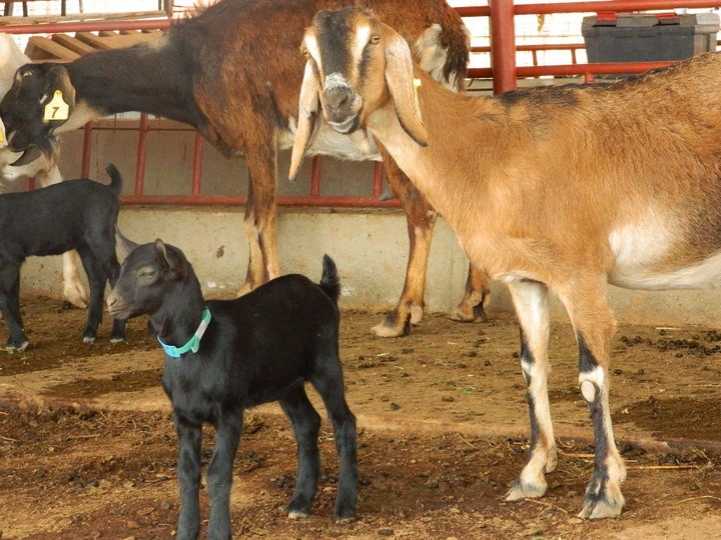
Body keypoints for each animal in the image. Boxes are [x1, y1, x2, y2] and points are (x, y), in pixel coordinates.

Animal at [0, 163, 125, 350]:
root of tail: (108, 189)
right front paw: (13, 341)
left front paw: (20, 341)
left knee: (114, 271)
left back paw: (117, 334)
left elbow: (5, 297)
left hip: (101, 234)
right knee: (96, 277)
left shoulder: (10, 259)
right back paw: (90, 332)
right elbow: (12, 295)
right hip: (84, 244)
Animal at [106, 242, 358, 540]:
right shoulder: (183, 415)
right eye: (122, 268)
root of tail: (321, 289)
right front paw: (186, 532)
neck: (196, 344)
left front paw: (218, 532)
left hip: (325, 361)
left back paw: (345, 508)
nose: (111, 302)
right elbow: (187, 472)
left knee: (343, 421)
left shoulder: (228, 411)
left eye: (147, 273)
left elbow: (217, 473)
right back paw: (300, 502)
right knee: (307, 422)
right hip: (285, 380)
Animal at [288, 4, 721, 520]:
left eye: (372, 40)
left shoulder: (580, 274)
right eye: (308, 52)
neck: (489, 151)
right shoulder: (524, 278)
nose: (338, 103)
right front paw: (532, 474)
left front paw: (602, 490)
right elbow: (532, 366)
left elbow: (591, 378)